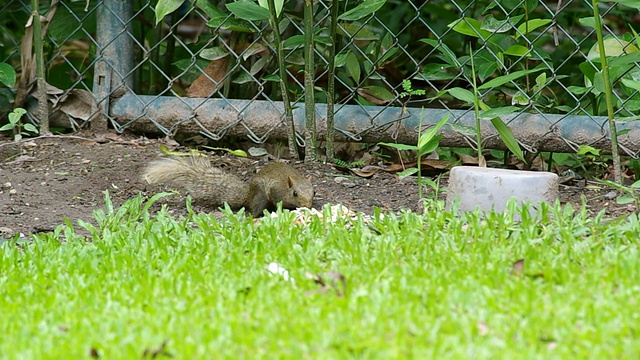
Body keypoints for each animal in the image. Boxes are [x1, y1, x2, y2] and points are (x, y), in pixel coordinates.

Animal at [144, 155, 316, 217]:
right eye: (295, 193)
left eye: (314, 192)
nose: (307, 205)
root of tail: (248, 195)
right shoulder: (275, 190)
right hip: (260, 195)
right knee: (254, 210)